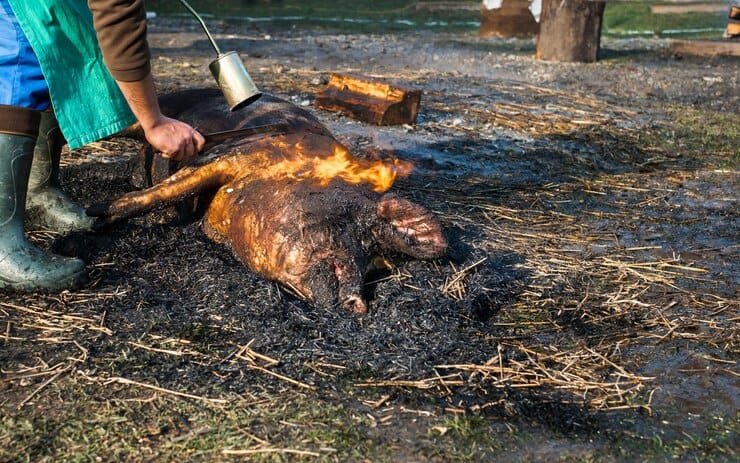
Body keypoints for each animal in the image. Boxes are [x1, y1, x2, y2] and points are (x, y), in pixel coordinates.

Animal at [89, 89, 447, 313]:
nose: (358, 306)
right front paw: (97, 215)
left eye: (377, 265)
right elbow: (163, 192)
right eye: (363, 234)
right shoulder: (234, 155)